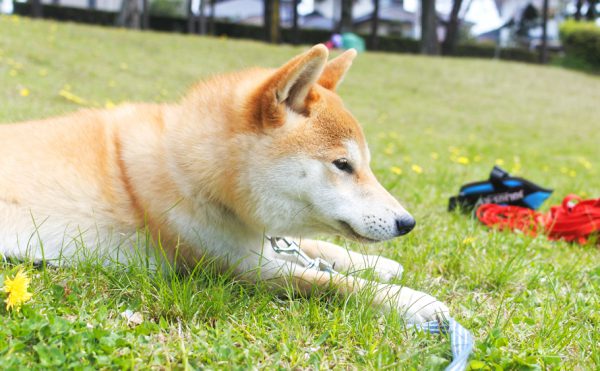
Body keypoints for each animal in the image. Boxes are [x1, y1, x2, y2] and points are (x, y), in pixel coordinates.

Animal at [0, 45, 448, 324]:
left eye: (366, 165)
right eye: (343, 165)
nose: (407, 223)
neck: (192, 167)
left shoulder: (260, 240)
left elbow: (317, 247)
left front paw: (379, 265)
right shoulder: (240, 268)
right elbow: (328, 281)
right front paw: (412, 301)